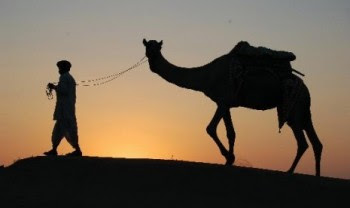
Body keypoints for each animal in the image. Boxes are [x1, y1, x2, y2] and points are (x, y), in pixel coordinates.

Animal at [142, 38, 322, 176]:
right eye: (146, 47)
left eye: (157, 48)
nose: (152, 60)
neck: (207, 76)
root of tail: (305, 87)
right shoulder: (226, 103)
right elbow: (231, 133)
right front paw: (230, 159)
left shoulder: (222, 100)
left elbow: (210, 128)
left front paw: (228, 157)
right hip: (304, 110)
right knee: (316, 142)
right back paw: (317, 175)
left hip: (294, 108)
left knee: (303, 142)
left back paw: (289, 171)